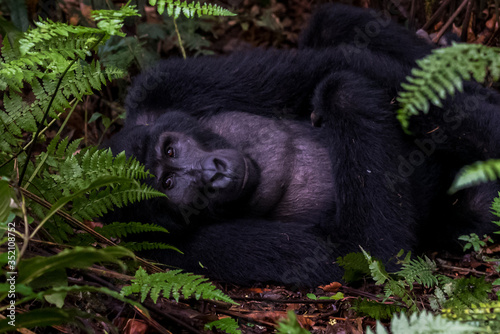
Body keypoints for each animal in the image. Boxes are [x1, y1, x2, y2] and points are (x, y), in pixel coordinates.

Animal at [106, 2, 500, 286]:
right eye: (169, 183)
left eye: (170, 150)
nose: (211, 174)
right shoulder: (173, 250)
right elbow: (360, 251)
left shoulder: (165, 84)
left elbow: (326, 66)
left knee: (332, 25)